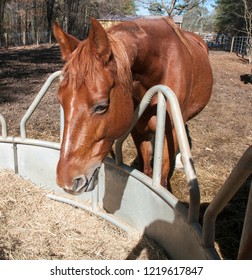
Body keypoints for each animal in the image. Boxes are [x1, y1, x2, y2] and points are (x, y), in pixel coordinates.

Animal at [53, 16, 213, 194]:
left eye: (101, 106)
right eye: (61, 100)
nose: (66, 182)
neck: (159, 66)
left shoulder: (169, 132)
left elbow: (162, 179)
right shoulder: (139, 129)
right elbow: (147, 169)